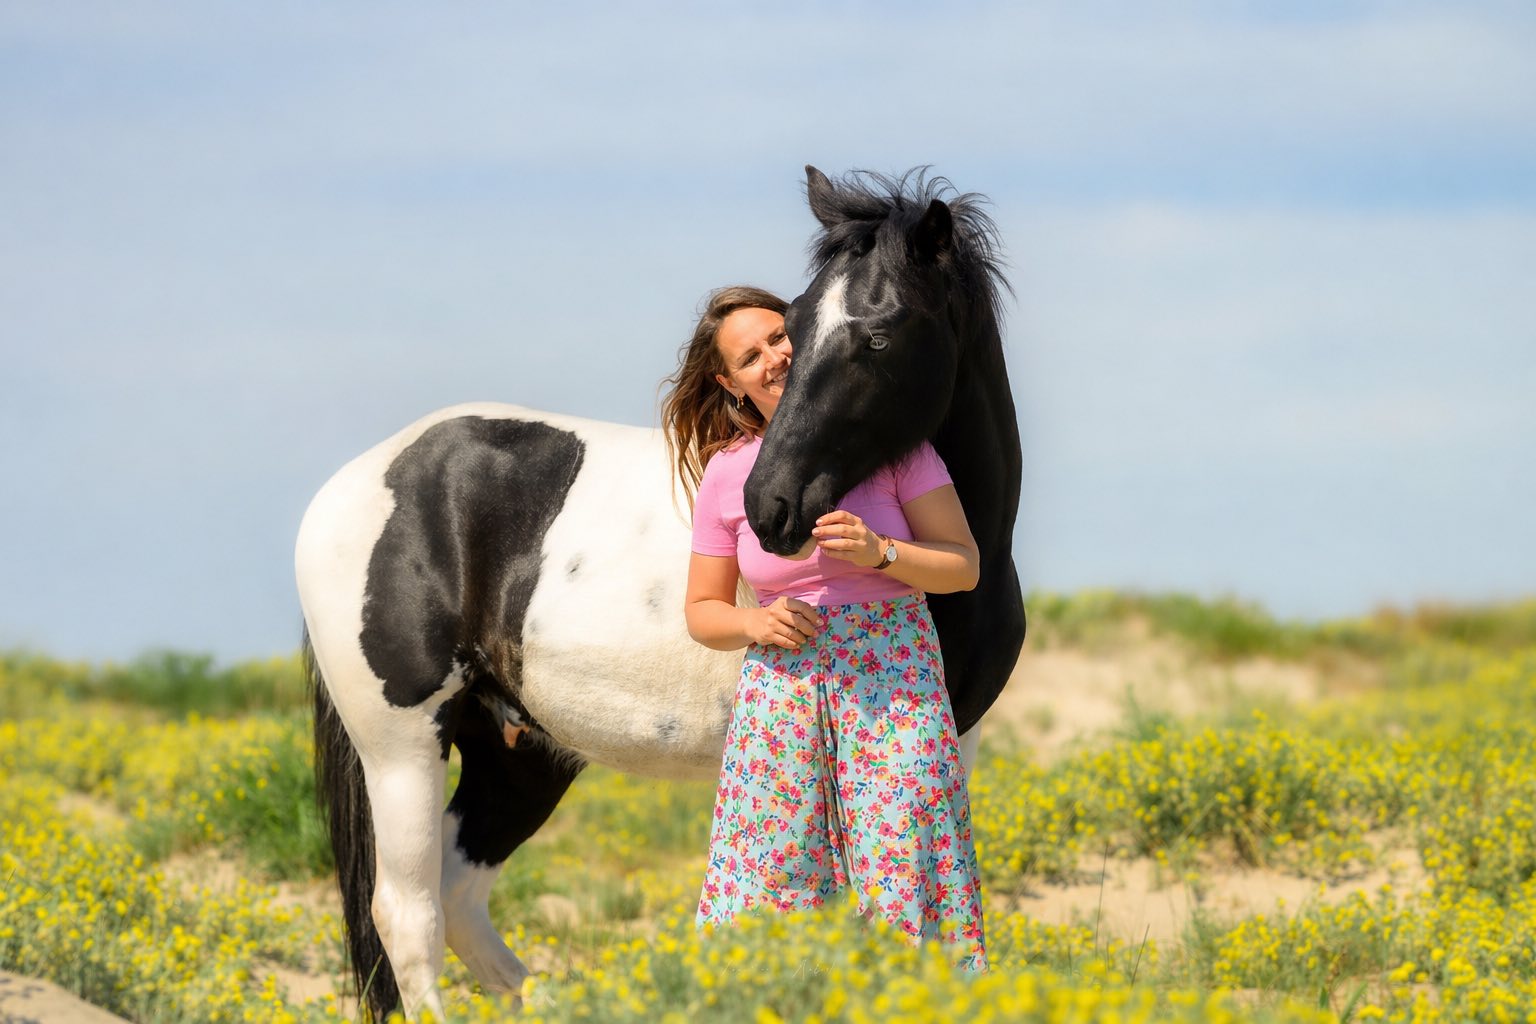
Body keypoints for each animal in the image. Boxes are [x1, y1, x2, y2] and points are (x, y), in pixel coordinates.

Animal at [296, 165, 1025, 1021]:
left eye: (879, 334)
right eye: (792, 329)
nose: (769, 506)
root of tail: (351, 487)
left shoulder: (954, 736)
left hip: (518, 754)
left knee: (461, 898)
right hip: (402, 745)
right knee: (408, 915)